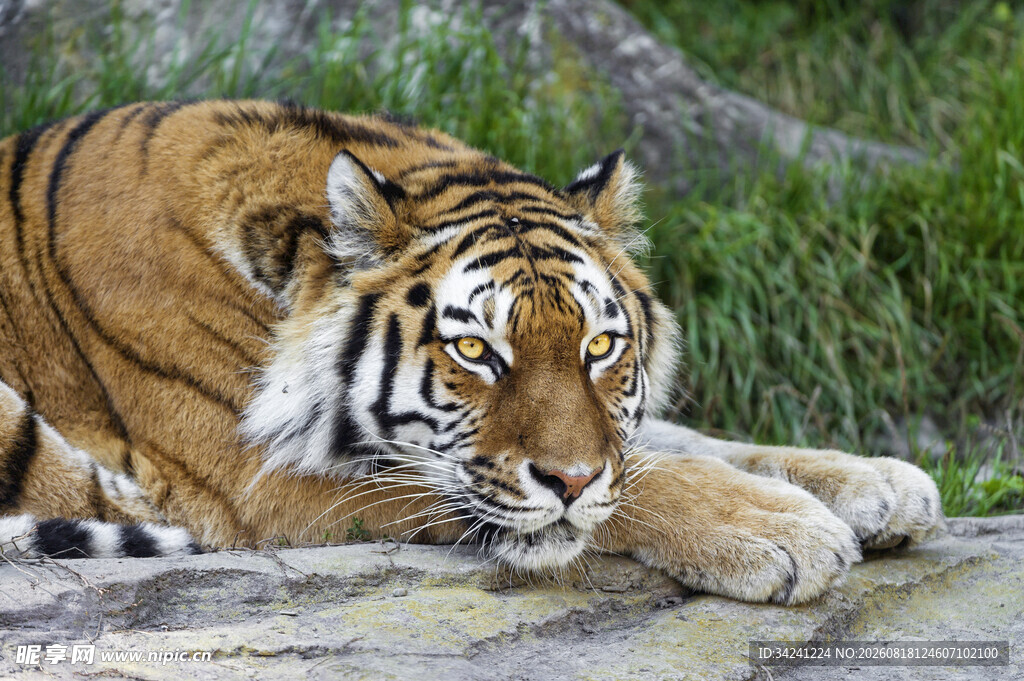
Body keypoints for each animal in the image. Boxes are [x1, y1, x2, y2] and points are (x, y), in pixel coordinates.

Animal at [0, 100, 943, 604]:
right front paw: (782, 529)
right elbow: (634, 481)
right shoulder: (254, 480)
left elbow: (677, 443)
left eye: (601, 344)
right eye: (475, 350)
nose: (569, 478)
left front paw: (878, 481)